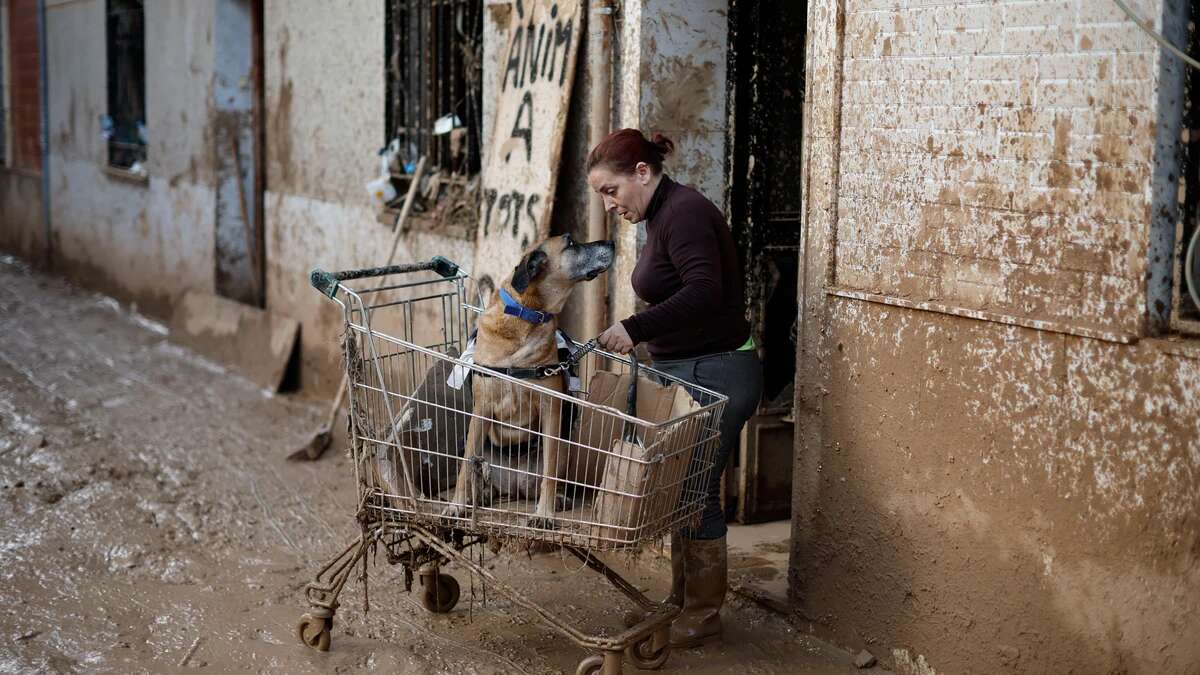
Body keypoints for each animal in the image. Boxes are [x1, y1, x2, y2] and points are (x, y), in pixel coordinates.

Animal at [444, 234, 619, 523]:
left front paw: (544, 513)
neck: (526, 314)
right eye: (571, 243)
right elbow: (465, 467)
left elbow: (548, 471)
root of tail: (514, 486)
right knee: (478, 468)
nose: (613, 242)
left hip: (564, 446)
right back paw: (480, 494)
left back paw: (555, 499)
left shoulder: (551, 408)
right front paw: (457, 504)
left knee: (548, 476)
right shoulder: (481, 409)